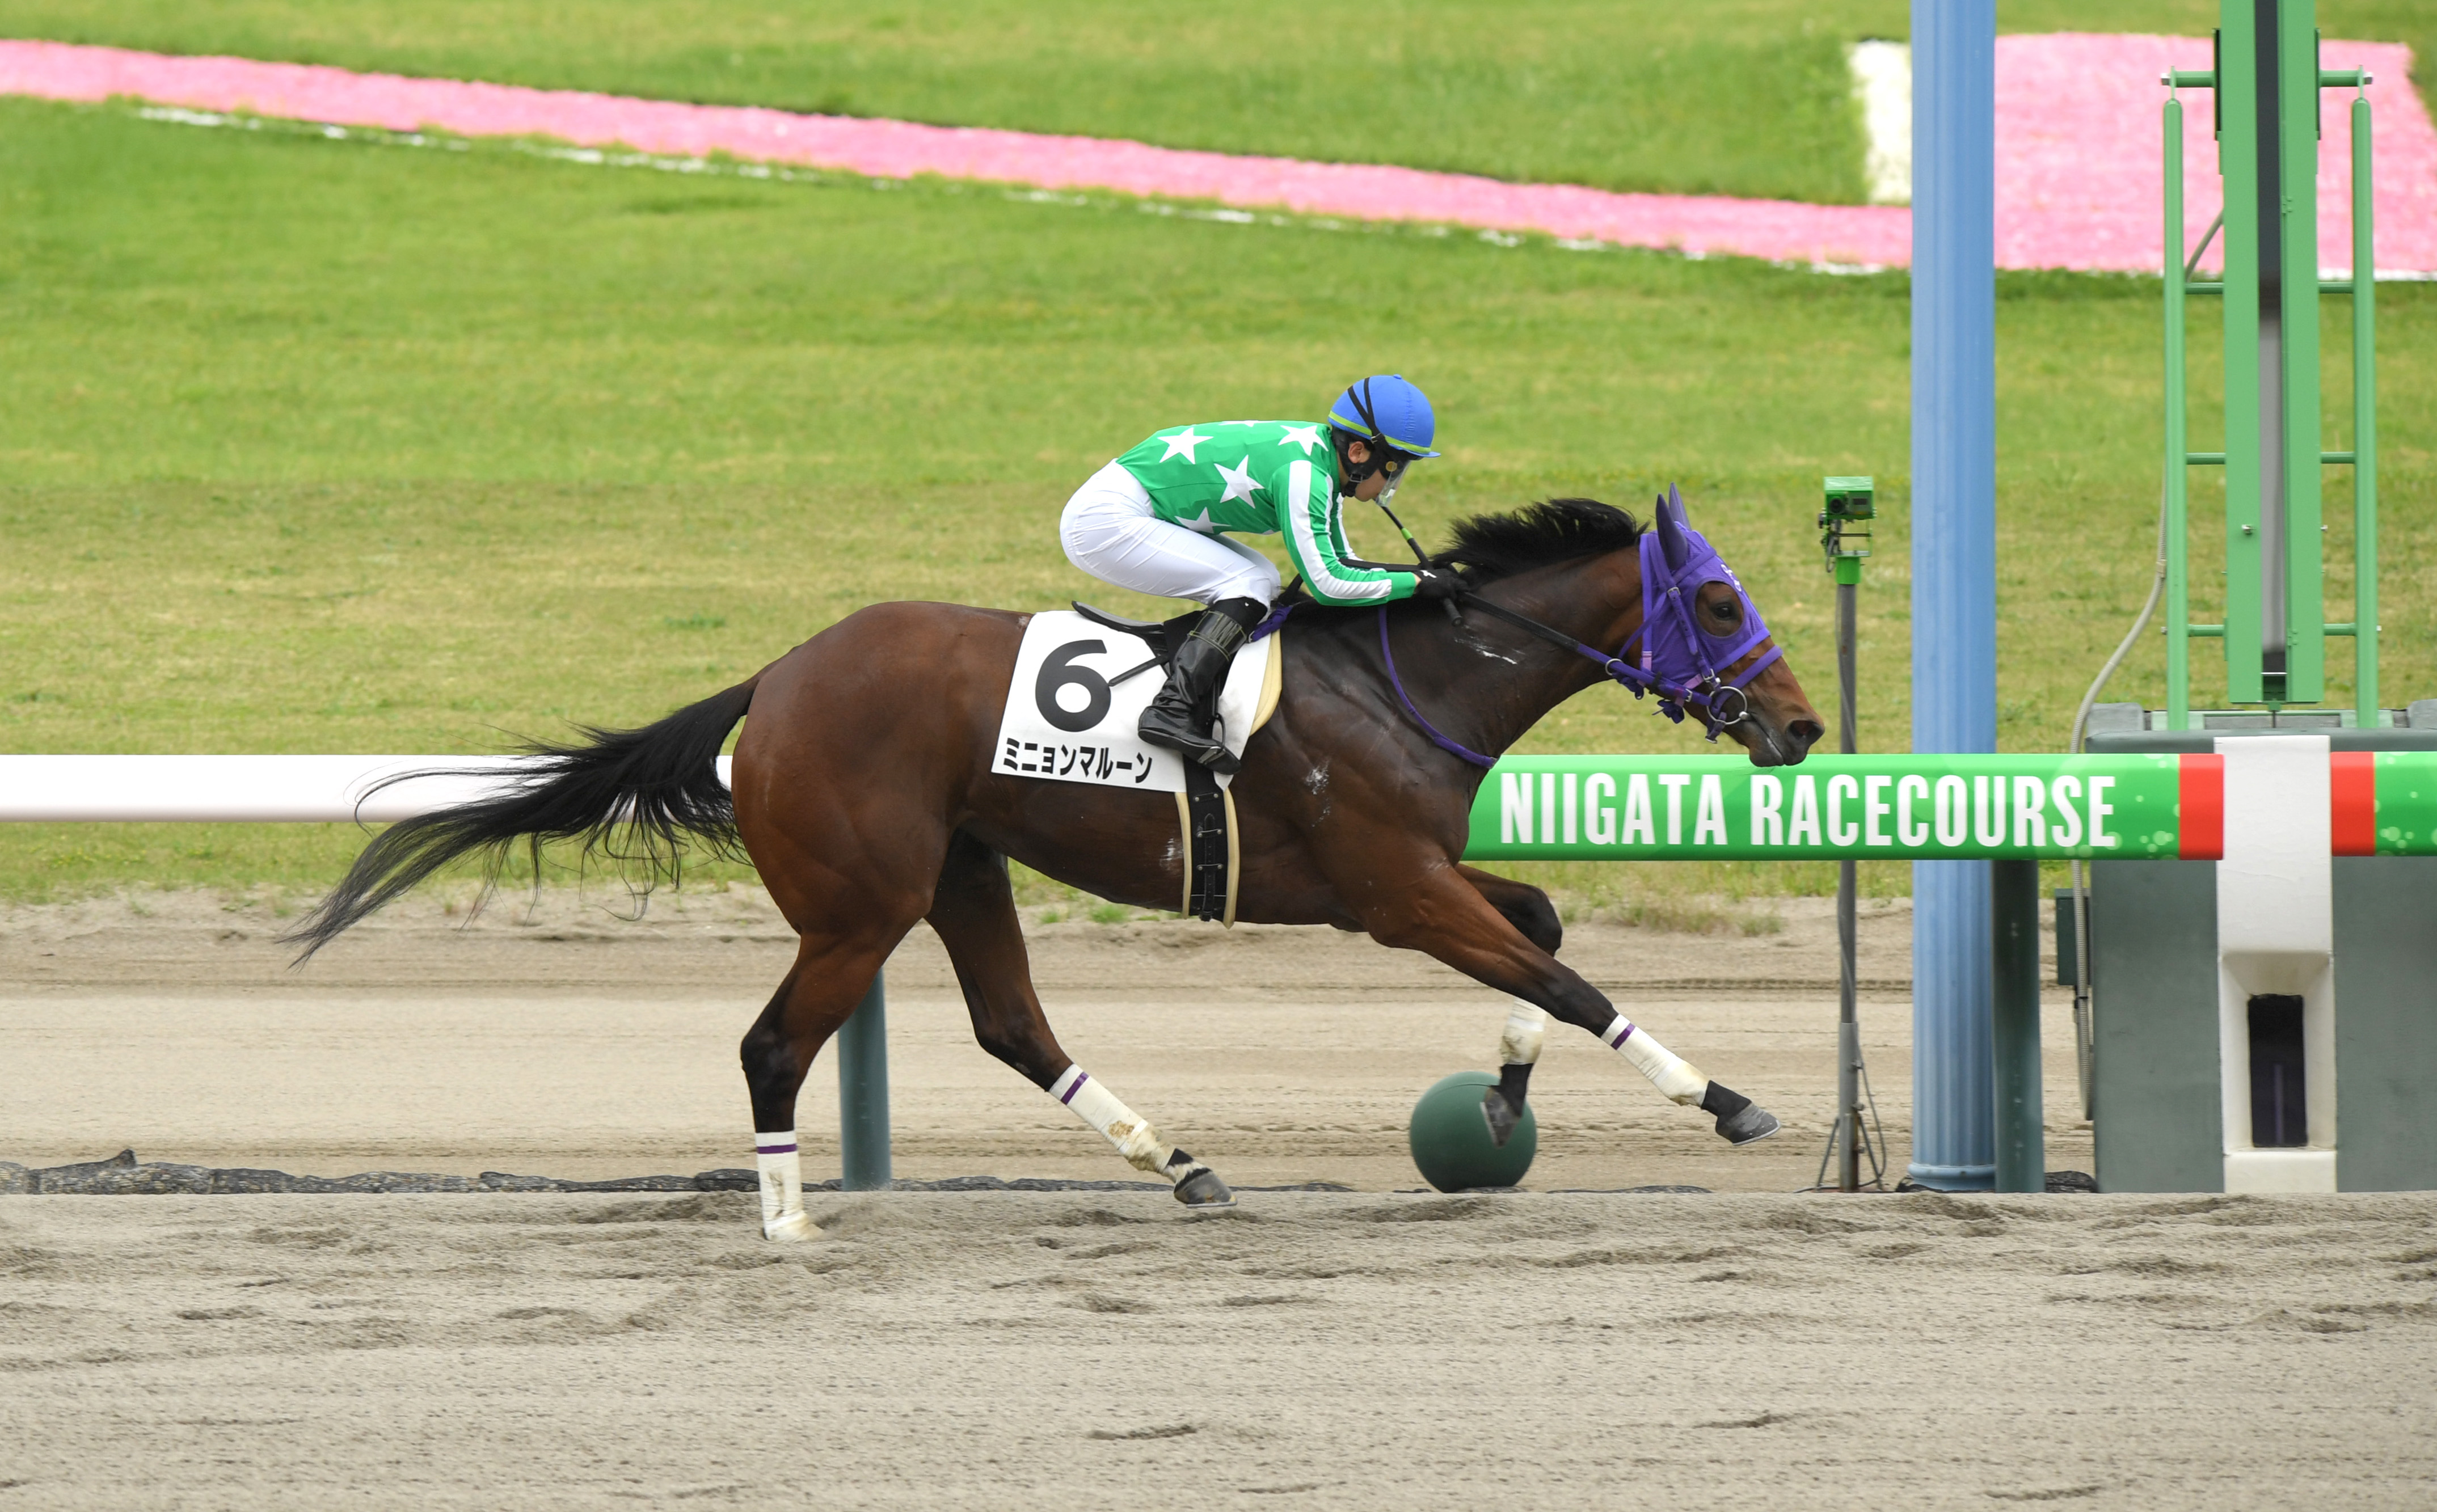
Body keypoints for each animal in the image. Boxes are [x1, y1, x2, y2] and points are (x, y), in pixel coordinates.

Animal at [287, 491, 1822, 1238]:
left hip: (962, 867)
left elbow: (1546, 932)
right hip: (863, 900)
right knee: (776, 1045)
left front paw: (1501, 1097)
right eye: (1716, 600)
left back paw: (1182, 1164)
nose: (1803, 726)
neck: (1408, 677)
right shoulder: (1392, 896)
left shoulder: (1412, 881)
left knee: (1013, 1025)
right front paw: (1729, 1100)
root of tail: (772, 682)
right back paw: (785, 1216)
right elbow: (1567, 978)